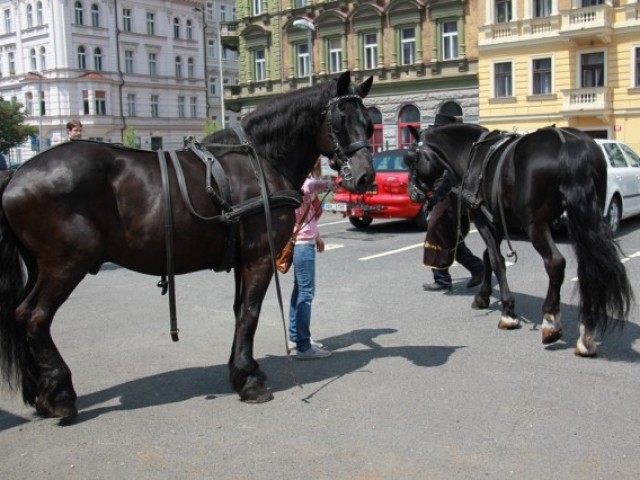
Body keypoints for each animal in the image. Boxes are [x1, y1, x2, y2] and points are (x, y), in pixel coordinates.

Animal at [0, 69, 376, 418]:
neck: (259, 160)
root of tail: (18, 173)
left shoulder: (242, 259)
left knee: (20, 316)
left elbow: (240, 311)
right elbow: (251, 312)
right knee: (34, 317)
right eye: (340, 121)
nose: (365, 177)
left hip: (42, 266)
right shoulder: (259, 256)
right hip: (67, 263)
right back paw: (61, 395)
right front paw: (250, 381)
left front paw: (240, 370)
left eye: (369, 123)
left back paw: (41, 394)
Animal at [408, 124, 632, 356]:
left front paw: (508, 312)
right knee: (587, 267)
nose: (412, 192)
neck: (473, 153)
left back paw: (551, 320)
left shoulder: (483, 219)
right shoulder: (496, 222)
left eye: (412, 159)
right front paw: (483, 296)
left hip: (537, 225)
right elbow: (488, 257)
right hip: (583, 219)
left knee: (555, 263)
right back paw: (586, 333)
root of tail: (567, 142)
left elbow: (496, 261)